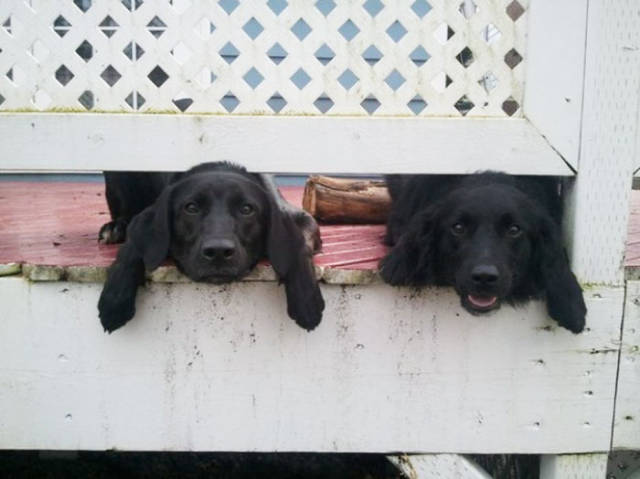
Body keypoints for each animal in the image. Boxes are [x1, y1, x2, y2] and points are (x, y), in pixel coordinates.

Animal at [99, 161, 324, 334]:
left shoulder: (301, 217)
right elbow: (132, 243)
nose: (218, 252)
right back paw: (116, 226)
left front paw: (306, 299)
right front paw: (115, 299)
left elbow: (299, 244)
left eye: (247, 209)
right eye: (191, 208)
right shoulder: (144, 220)